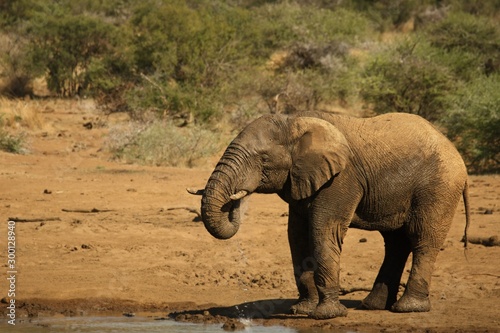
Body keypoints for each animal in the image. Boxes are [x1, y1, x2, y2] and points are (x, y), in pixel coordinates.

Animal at [187, 111, 468, 320]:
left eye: (263, 159)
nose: (236, 199)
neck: (296, 120)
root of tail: (455, 151)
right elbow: (296, 235)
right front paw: (301, 311)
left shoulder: (341, 179)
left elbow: (323, 229)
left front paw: (327, 314)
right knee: (396, 243)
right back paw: (372, 306)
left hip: (439, 186)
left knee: (422, 239)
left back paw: (408, 308)